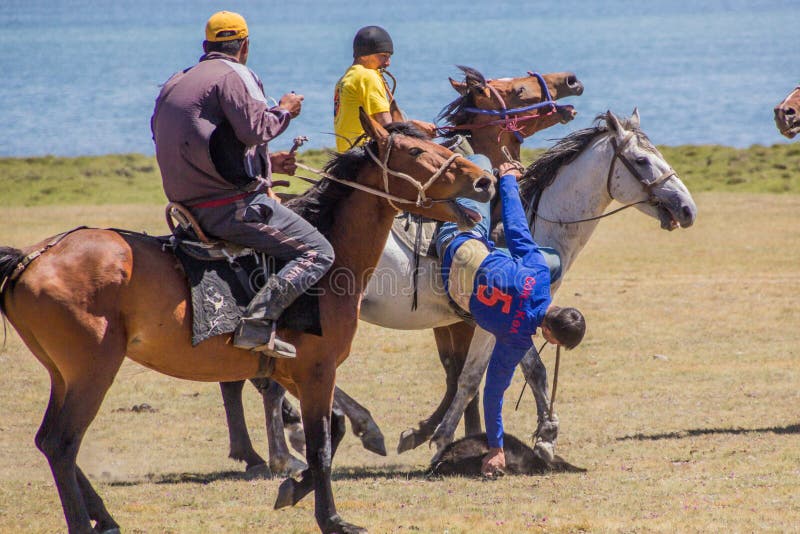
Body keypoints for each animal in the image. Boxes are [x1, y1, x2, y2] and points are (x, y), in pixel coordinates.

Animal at [0, 111, 494, 532]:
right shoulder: (317, 371)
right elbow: (320, 444)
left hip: (64, 375)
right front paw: (331, 518)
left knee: (49, 440)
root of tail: (31, 258)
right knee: (63, 443)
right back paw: (87, 522)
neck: (330, 257)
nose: (484, 180)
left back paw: (105, 517)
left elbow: (330, 430)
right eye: (413, 151)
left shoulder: (294, 371)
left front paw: (293, 486)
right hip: (92, 371)